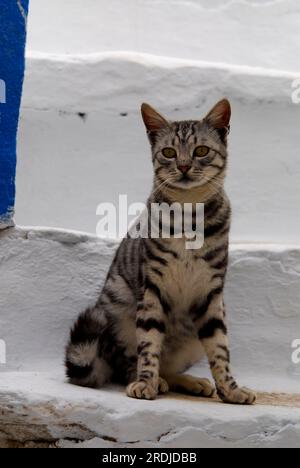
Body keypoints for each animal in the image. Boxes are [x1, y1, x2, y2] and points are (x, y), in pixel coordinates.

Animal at [65, 99, 255, 406]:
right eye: (168, 152)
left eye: (201, 151)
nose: (184, 165)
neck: (189, 214)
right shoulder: (152, 288)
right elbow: (149, 346)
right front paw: (145, 383)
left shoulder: (212, 295)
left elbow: (220, 350)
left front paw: (230, 389)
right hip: (118, 310)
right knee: (126, 365)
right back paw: (154, 381)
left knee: (168, 365)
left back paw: (188, 382)